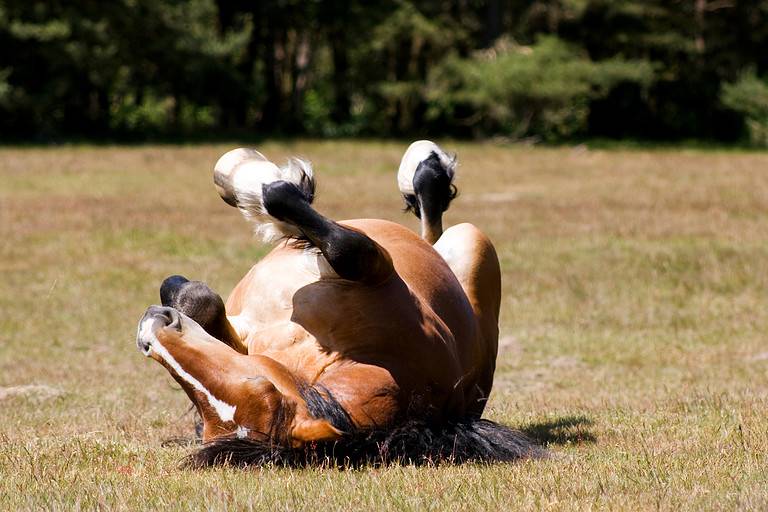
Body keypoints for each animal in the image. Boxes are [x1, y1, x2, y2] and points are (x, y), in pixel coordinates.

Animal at [135, 141, 541, 467]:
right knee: (429, 227)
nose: (150, 333)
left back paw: (426, 166)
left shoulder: (376, 266)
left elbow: (332, 237)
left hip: (473, 242)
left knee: (430, 222)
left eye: (260, 387)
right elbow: (199, 298)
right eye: (203, 414)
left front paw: (249, 175)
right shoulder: (245, 332)